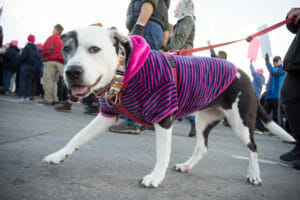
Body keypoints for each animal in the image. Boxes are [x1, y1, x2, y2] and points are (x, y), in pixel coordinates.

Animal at [42, 26, 296, 188]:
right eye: (67, 48)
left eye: (94, 49)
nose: (72, 72)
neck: (126, 71)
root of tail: (242, 72)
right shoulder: (107, 114)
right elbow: (78, 136)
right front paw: (58, 155)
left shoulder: (163, 117)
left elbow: (161, 153)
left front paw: (155, 178)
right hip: (205, 118)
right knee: (202, 147)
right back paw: (186, 166)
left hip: (241, 122)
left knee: (253, 147)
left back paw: (254, 175)